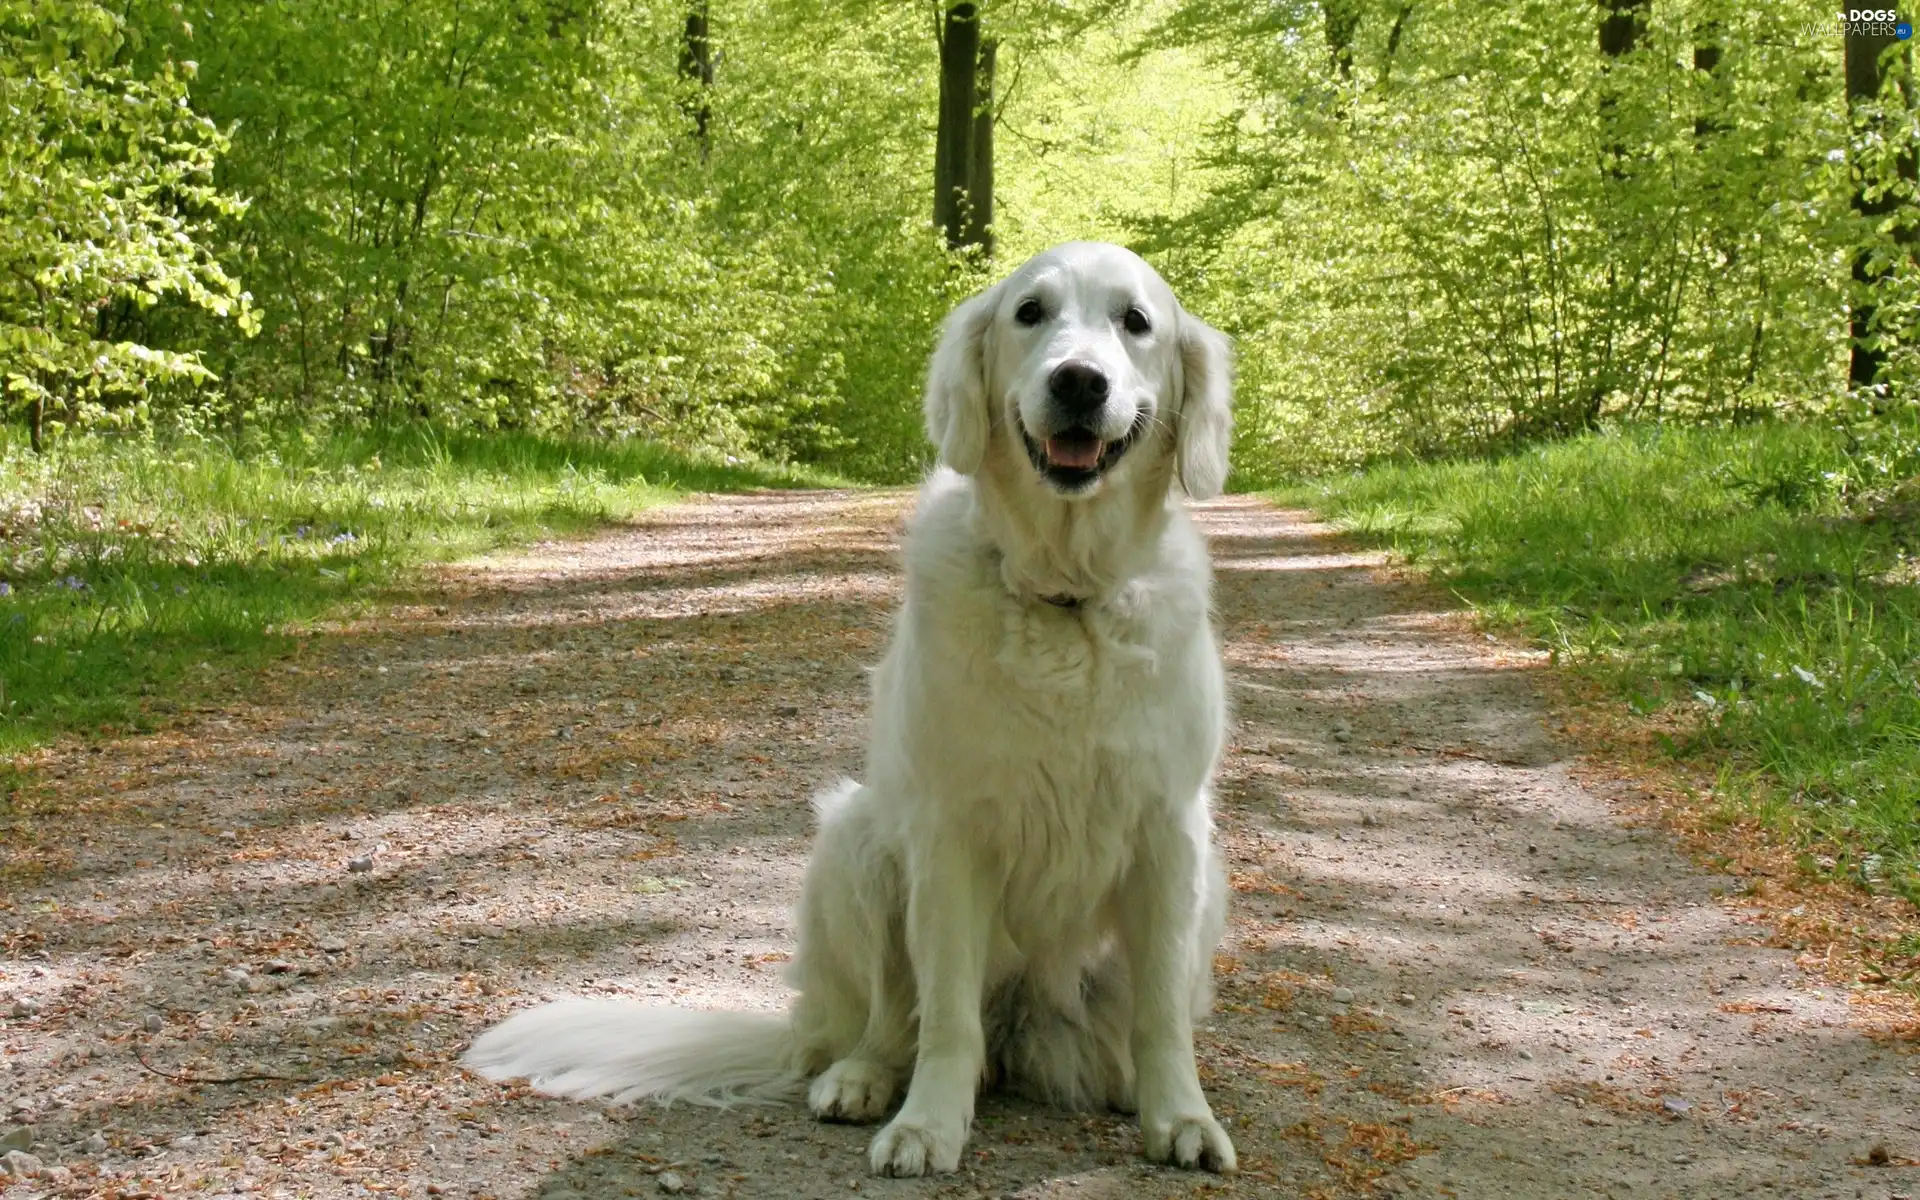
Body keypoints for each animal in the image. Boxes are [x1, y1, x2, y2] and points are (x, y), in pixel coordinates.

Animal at [472, 239, 1236, 1175]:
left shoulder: (1169, 831)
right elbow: (944, 1016)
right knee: (886, 1022)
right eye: (1031, 313)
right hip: (855, 842)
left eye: (1136, 322)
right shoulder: (949, 835)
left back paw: (1122, 1080)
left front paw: (1181, 1116)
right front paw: (928, 1126)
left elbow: (1162, 1015)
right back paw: (863, 1082)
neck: (1064, 597)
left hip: (1206, 885)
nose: (1080, 382)